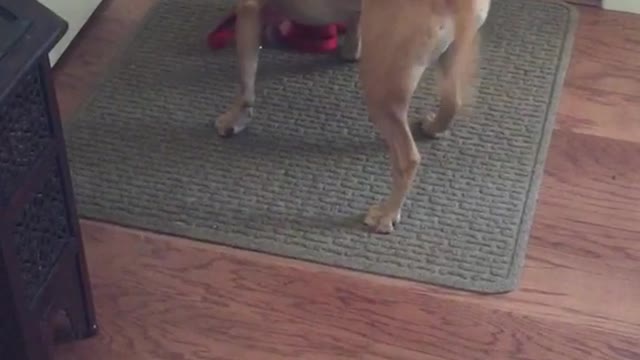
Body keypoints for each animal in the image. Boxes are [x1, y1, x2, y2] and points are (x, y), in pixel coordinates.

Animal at [215, 0, 490, 233]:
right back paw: (433, 127)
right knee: (453, 102)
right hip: (451, 55)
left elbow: (246, 80)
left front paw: (234, 118)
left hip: (381, 91)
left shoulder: (248, 10)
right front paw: (349, 50)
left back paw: (387, 214)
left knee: (408, 159)